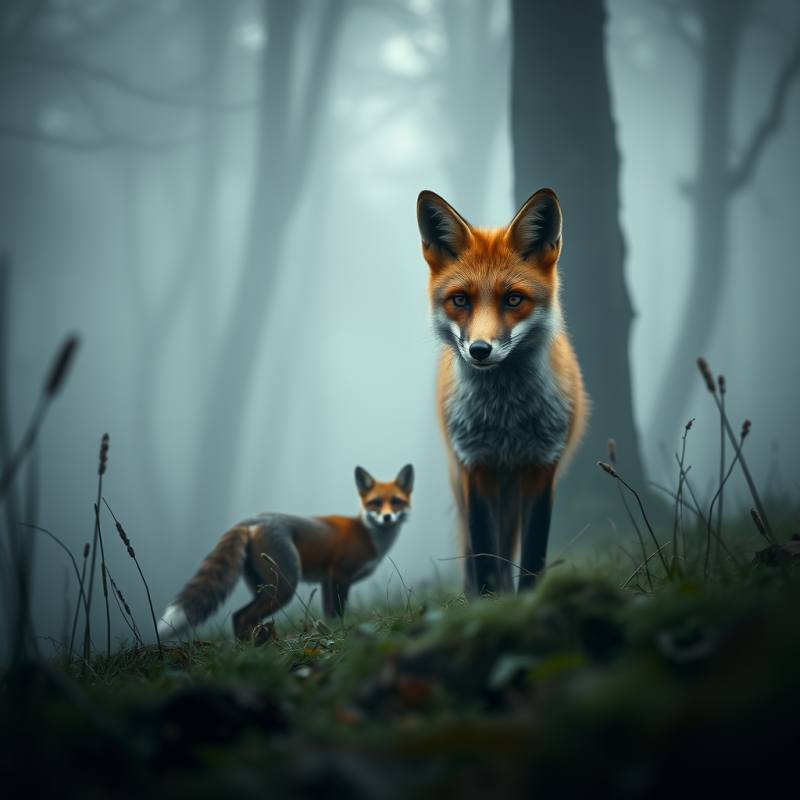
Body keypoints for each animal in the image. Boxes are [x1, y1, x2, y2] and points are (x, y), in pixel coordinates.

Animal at [158, 464, 414, 640]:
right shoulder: (339, 574)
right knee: (241, 616)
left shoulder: (326, 580)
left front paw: (330, 631)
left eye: (396, 501)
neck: (368, 534)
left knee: (243, 618)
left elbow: (329, 614)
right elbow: (339, 612)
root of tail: (251, 520)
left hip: (263, 586)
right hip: (285, 585)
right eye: (376, 503)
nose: (387, 517)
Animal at [416, 187, 586, 596]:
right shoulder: (475, 467)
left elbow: (533, 557)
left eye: (513, 299)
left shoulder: (542, 467)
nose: (480, 350)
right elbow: (483, 556)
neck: (505, 420)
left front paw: (525, 602)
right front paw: (490, 602)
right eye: (460, 300)